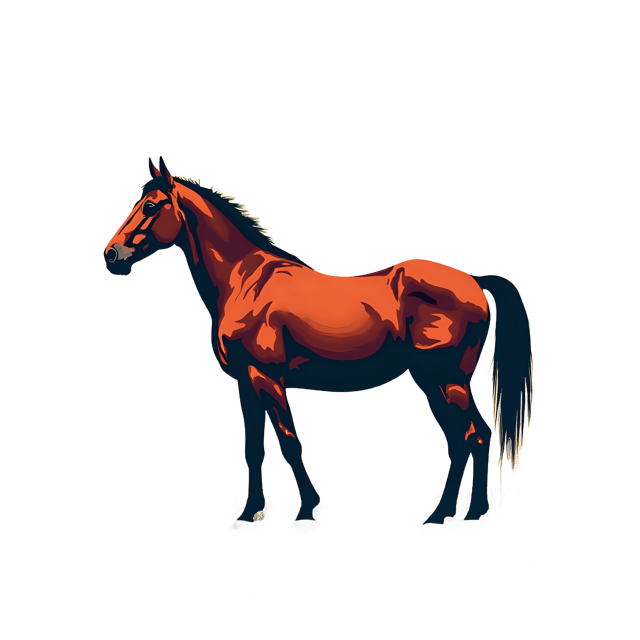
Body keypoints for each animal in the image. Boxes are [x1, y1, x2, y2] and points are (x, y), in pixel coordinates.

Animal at [103, 156, 533, 527]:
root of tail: (473, 281)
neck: (244, 280)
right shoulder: (246, 382)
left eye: (151, 206)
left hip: (445, 380)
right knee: (466, 439)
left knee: (472, 436)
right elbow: (254, 449)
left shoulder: (267, 378)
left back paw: (460, 514)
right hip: (435, 381)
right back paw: (453, 513)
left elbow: (289, 442)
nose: (112, 254)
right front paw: (250, 511)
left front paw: (307, 508)